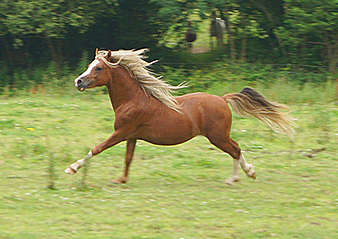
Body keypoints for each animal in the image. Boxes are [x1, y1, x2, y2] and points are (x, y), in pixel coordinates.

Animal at [64, 48, 292, 185]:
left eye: (98, 67)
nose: (78, 81)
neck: (132, 99)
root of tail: (223, 98)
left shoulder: (121, 132)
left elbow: (97, 148)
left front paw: (71, 168)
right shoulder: (131, 136)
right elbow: (128, 158)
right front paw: (122, 179)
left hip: (217, 136)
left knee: (235, 149)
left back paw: (234, 178)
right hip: (220, 136)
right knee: (236, 148)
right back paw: (249, 172)